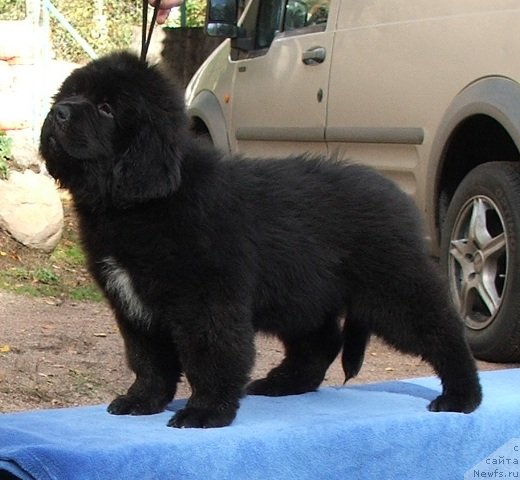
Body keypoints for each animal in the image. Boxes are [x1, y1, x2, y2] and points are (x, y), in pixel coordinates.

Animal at [40, 52, 484, 428]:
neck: (142, 202)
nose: (57, 112)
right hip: (303, 294)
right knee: (321, 342)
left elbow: (211, 355)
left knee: (442, 329)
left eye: (106, 108)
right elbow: (148, 359)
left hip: (390, 286)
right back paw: (282, 384)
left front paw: (205, 413)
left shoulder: (207, 300)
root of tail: (397, 194)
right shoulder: (133, 305)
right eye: (72, 93)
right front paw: (141, 401)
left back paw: (463, 396)